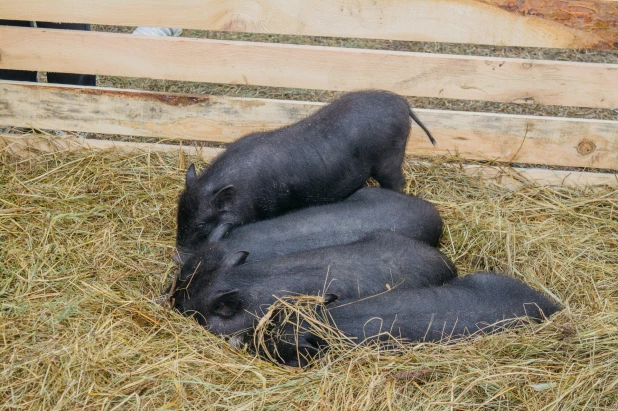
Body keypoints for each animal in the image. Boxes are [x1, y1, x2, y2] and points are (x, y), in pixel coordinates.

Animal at [174, 91, 434, 258]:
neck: (242, 193)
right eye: (179, 215)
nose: (178, 255)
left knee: (398, 181)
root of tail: (403, 104)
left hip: (389, 160)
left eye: (201, 225)